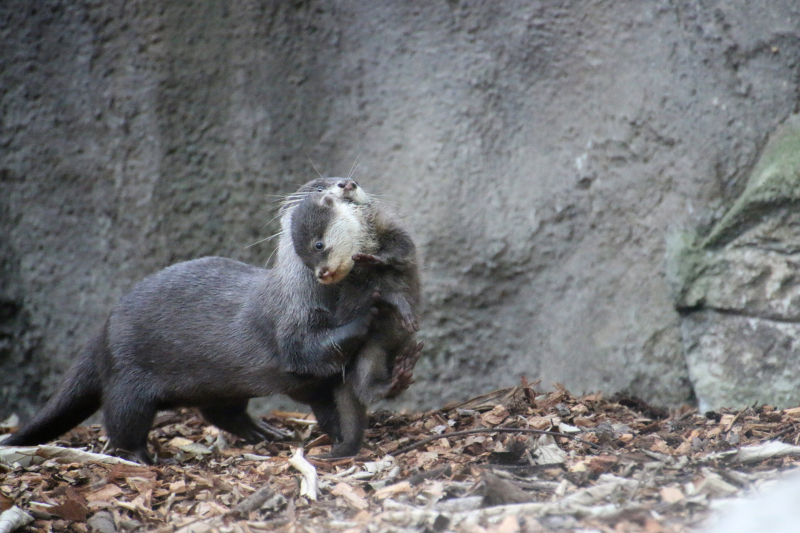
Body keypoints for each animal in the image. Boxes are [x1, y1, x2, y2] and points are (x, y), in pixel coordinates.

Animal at [3, 179, 375, 464]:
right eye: (320, 187)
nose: (347, 183)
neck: (305, 292)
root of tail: (103, 330)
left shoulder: (319, 385)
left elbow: (330, 406)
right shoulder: (290, 326)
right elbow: (309, 353)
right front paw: (368, 315)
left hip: (223, 383)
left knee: (219, 411)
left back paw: (263, 431)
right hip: (128, 378)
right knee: (122, 422)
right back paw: (141, 458)